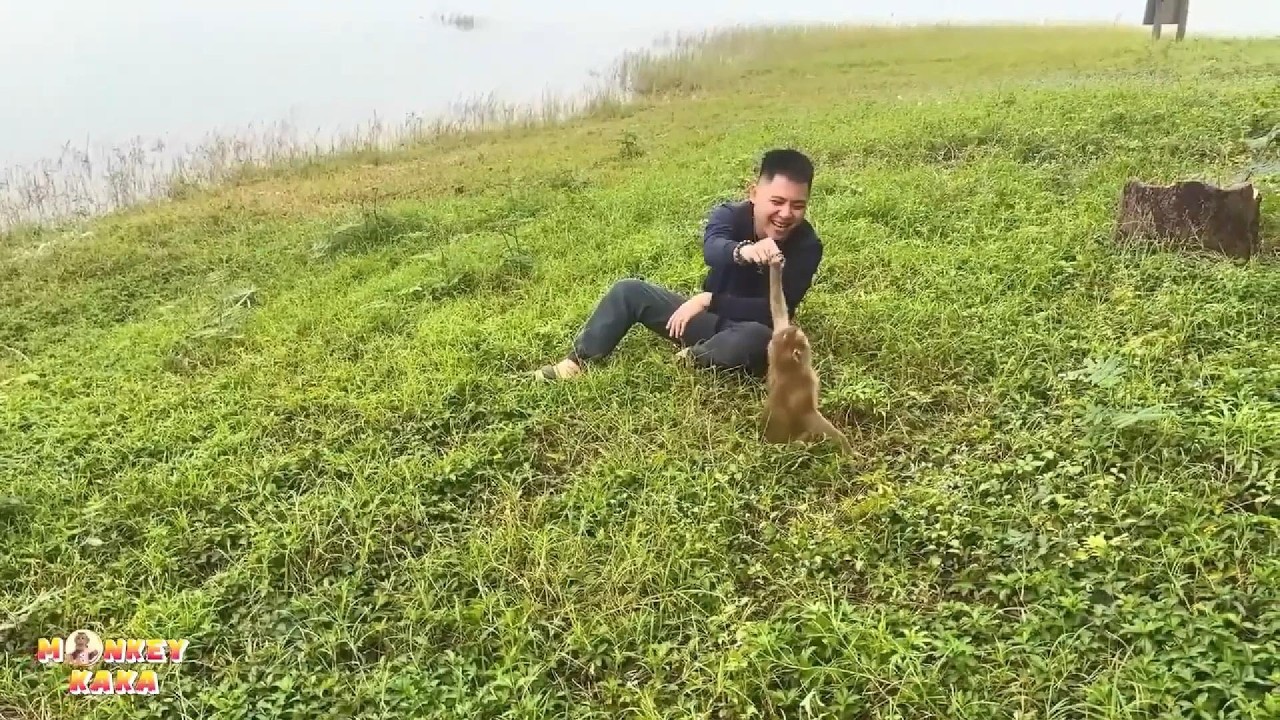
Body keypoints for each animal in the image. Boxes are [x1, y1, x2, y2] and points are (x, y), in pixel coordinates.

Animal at [761, 256, 855, 456]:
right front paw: (848, 449)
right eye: (802, 338)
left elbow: (778, 306)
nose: (795, 329)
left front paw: (775, 265)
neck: (789, 369)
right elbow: (809, 415)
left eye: (796, 333)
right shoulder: (805, 383)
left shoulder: (774, 345)